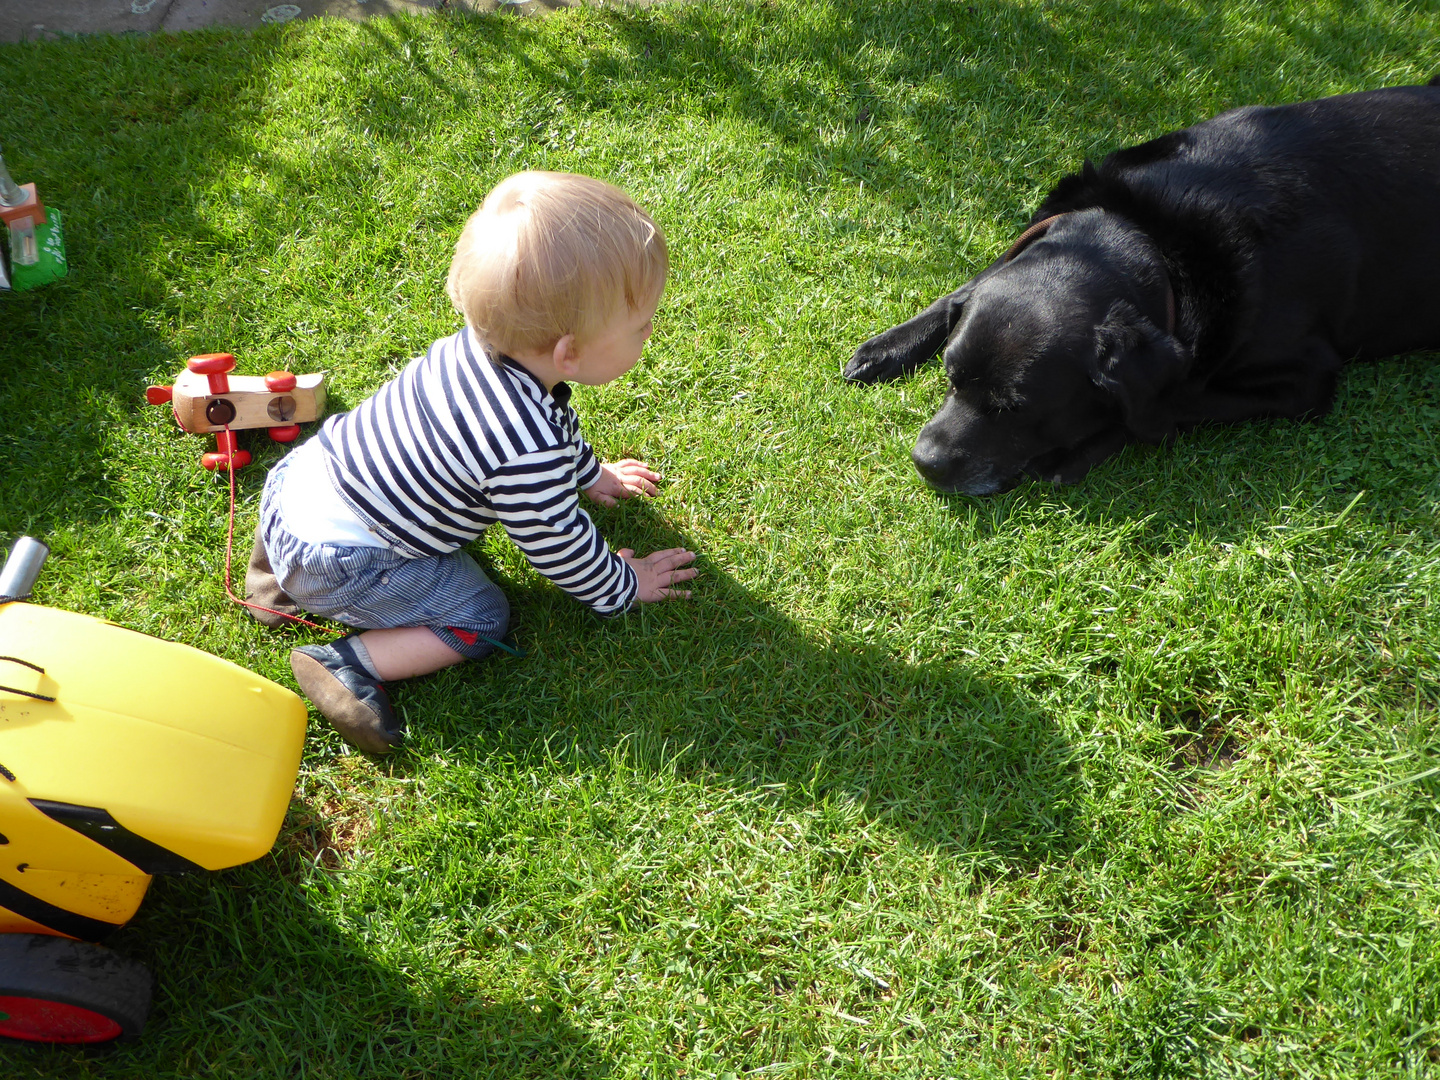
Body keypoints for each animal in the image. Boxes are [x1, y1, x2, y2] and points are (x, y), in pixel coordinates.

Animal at [840, 80, 1440, 495]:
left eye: (1015, 409)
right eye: (950, 376)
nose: (925, 461)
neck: (1153, 237)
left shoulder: (1306, 380)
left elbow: (1171, 401)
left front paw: (1077, 450)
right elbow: (962, 288)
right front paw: (887, 347)